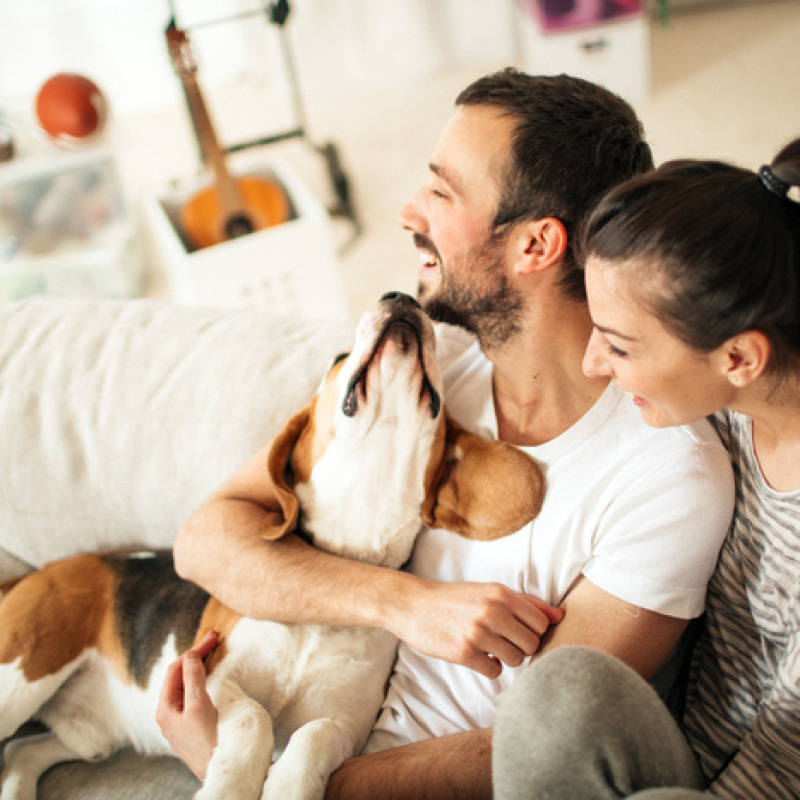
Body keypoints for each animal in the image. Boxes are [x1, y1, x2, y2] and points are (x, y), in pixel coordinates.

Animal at [0, 292, 544, 800]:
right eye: (338, 356)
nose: (402, 298)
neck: (336, 576)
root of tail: (37, 573)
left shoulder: (347, 724)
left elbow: (314, 734)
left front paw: (288, 786)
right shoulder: (212, 676)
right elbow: (252, 718)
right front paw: (231, 785)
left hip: (84, 734)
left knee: (20, 752)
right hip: (23, 674)